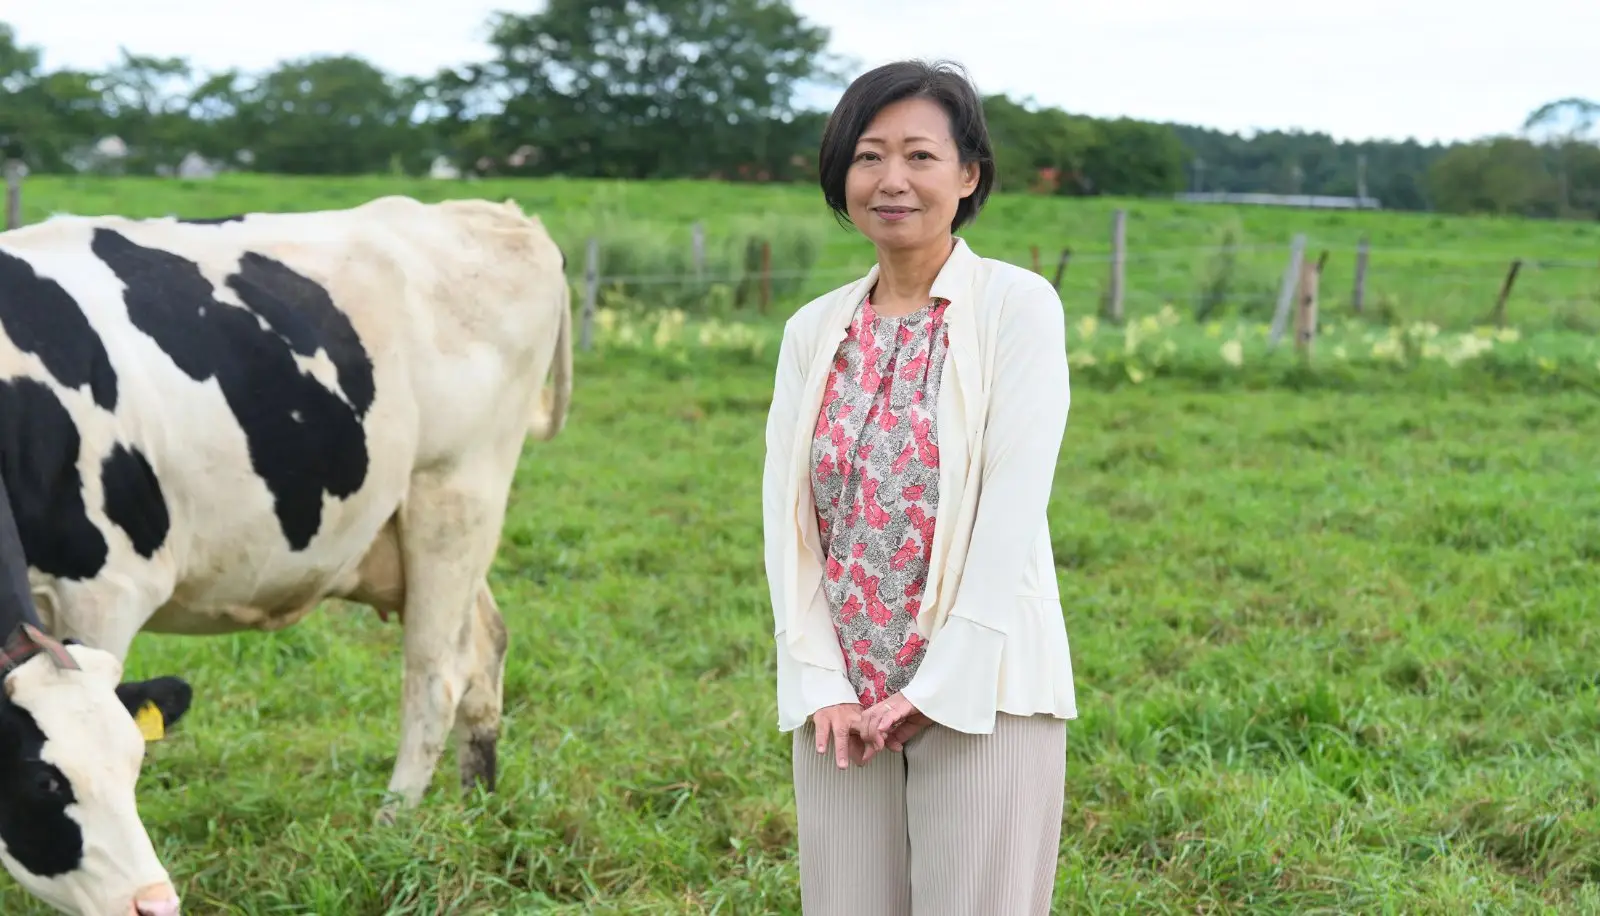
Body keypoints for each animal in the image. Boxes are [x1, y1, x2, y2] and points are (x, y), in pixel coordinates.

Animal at [0, 195, 576, 916]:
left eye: (132, 763)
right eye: (43, 783)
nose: (154, 900)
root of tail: (496, 213)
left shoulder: (106, 587)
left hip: (455, 494)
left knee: (436, 676)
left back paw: (391, 830)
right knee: (486, 647)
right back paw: (478, 812)